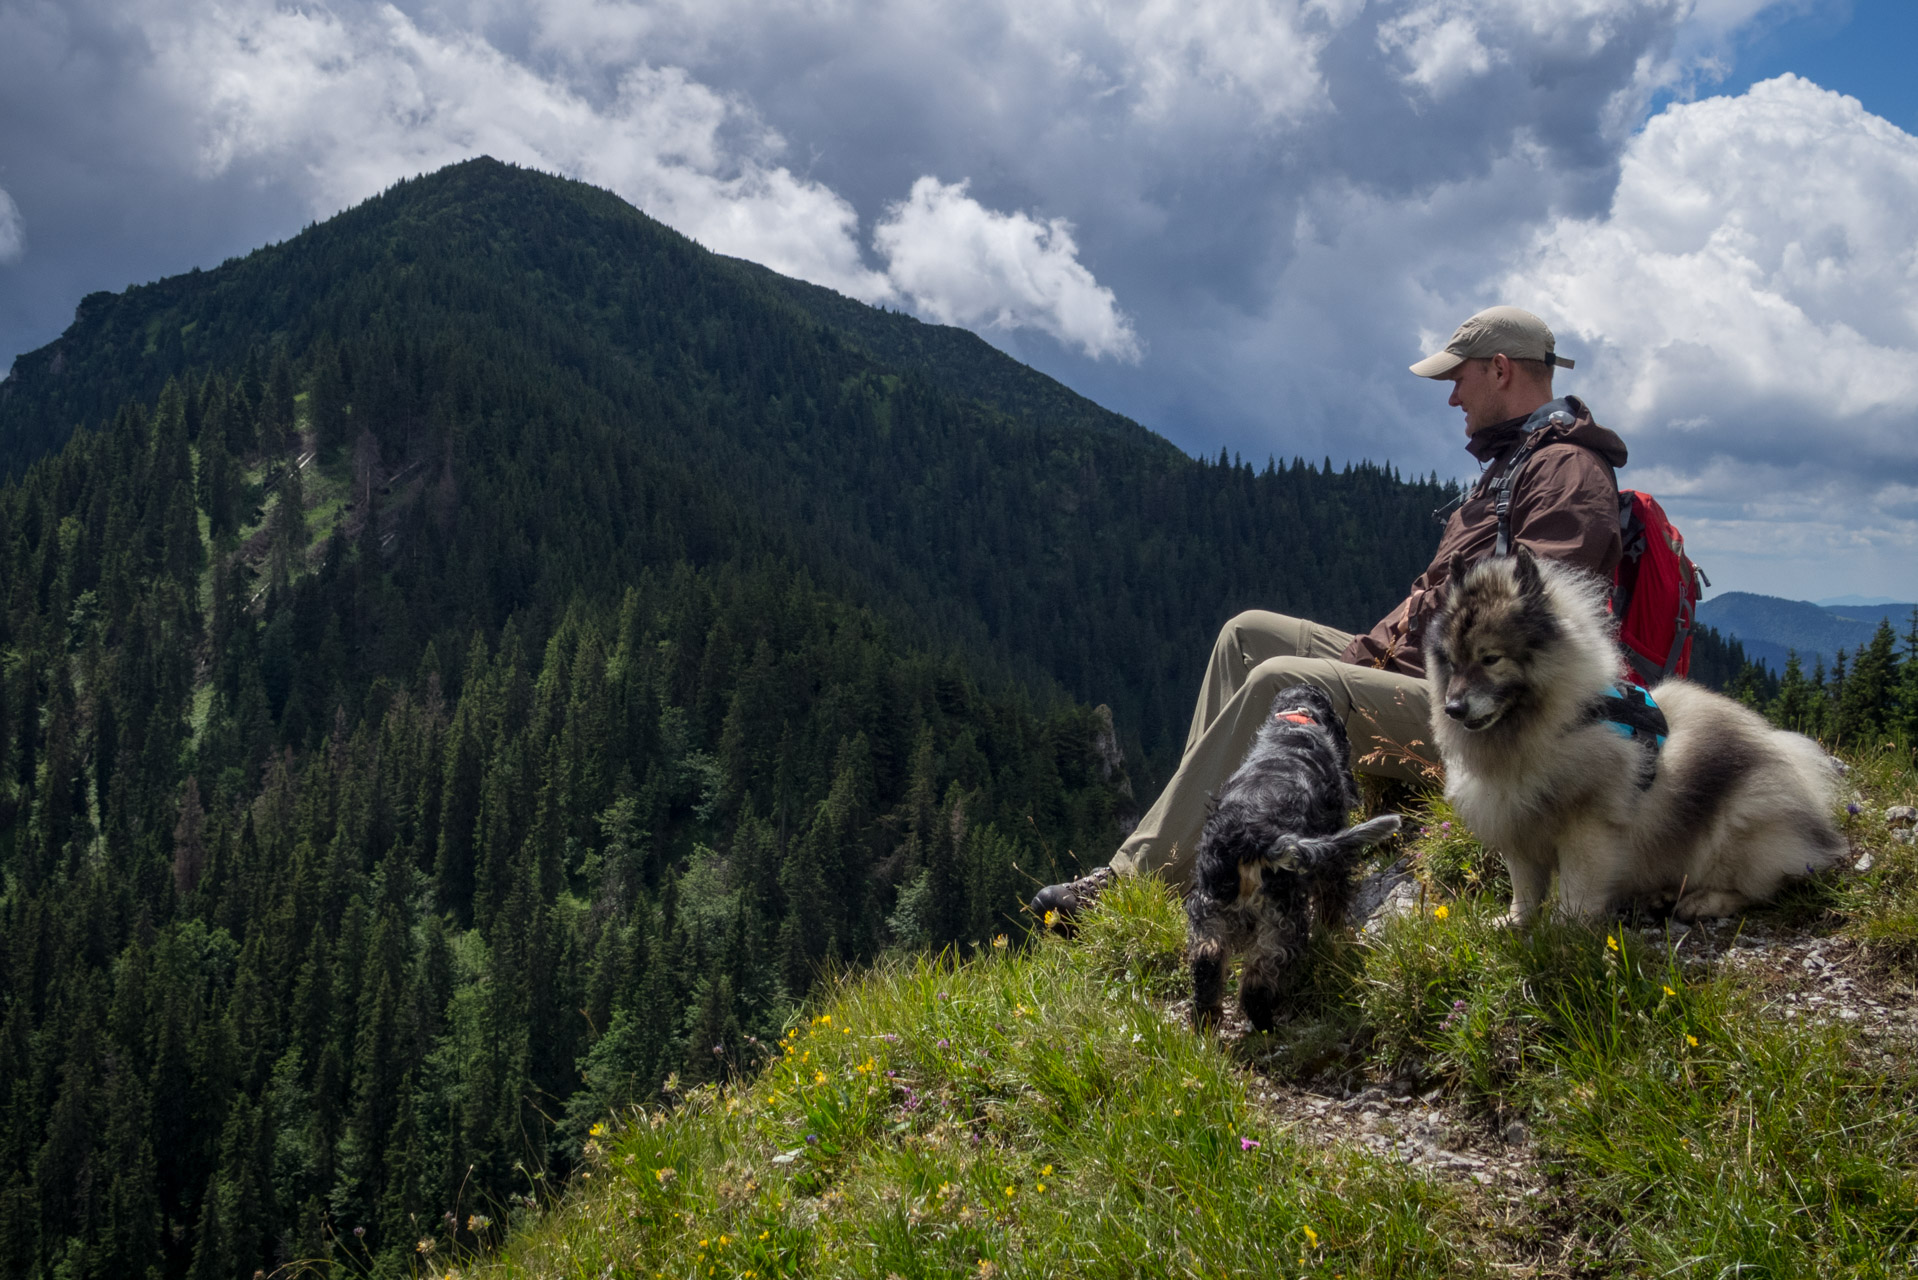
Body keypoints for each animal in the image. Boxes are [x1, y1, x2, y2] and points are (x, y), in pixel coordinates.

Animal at [1181, 687, 1396, 1036]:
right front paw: (1334, 931)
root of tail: (1251, 839)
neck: (1295, 721)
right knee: (1259, 977)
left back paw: (1207, 1017)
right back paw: (1267, 1024)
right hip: (1282, 914)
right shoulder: (1332, 855)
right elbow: (1332, 899)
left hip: (1209, 905)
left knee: (1207, 958)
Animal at [1426, 552, 1841, 921]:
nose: (1454, 708)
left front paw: (1563, 930)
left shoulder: (1587, 828)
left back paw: (1704, 902)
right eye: (1452, 662)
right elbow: (1525, 889)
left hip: (1740, 822)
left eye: (1490, 659)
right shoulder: (1516, 827)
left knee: (1761, 886)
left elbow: (1576, 889)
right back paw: (1659, 896)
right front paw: (1517, 922)